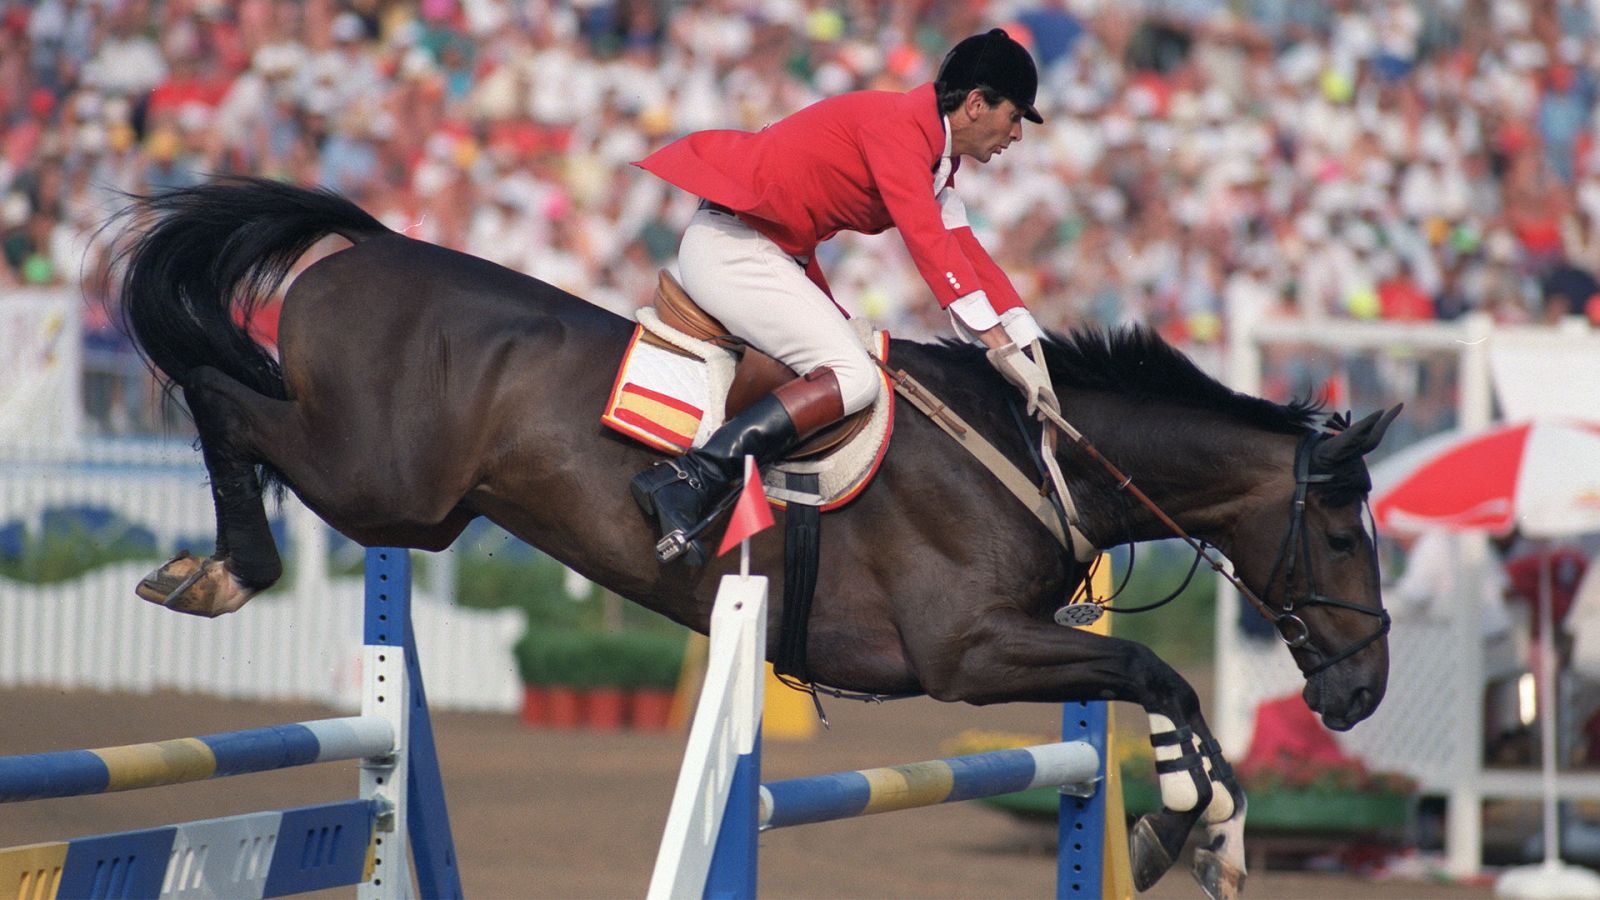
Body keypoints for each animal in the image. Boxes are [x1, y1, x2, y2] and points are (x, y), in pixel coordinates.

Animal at [112, 176, 1401, 896]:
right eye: (1344, 538)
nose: (1361, 695)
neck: (1038, 452)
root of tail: (364, 246)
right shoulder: (968, 652)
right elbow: (1155, 670)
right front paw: (1195, 824)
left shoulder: (1015, 645)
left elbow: (1152, 683)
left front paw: (1199, 824)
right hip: (376, 480)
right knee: (222, 399)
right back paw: (219, 571)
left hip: (410, 505)